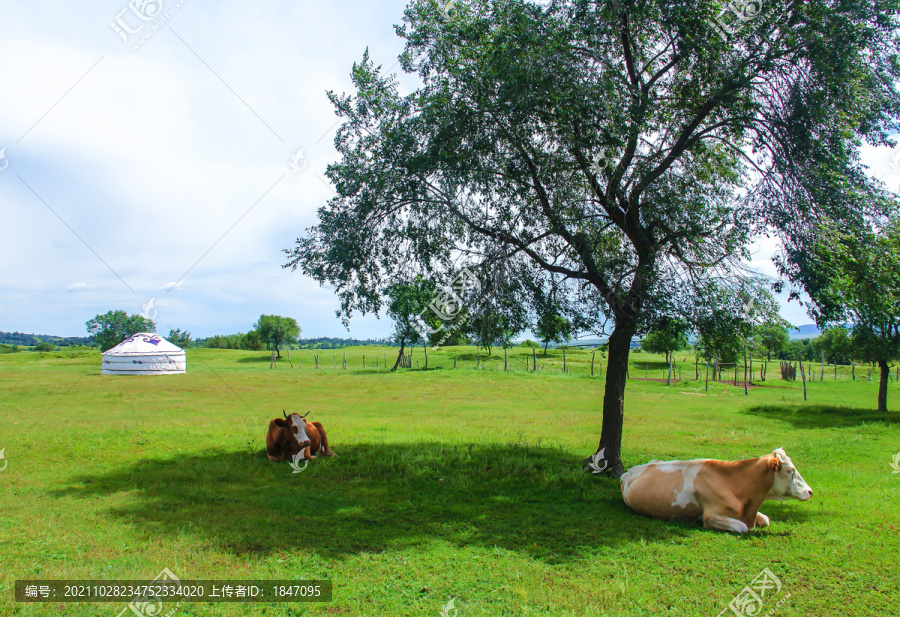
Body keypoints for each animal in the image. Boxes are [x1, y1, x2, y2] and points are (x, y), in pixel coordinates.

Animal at [624, 446, 812, 532]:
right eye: (790, 470)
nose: (810, 491)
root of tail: (629, 471)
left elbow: (766, 519)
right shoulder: (712, 516)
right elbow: (742, 527)